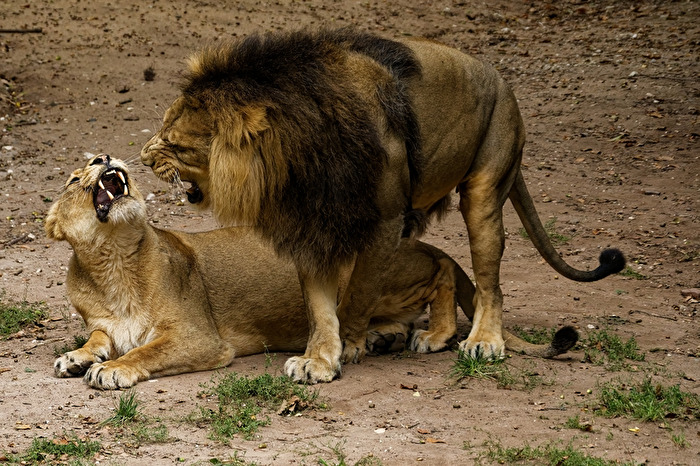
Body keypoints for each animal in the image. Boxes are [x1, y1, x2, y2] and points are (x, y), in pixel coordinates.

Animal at [46, 156, 577, 389]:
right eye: (74, 178)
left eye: (92, 163)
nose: (104, 157)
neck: (115, 261)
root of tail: (414, 240)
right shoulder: (105, 321)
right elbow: (99, 338)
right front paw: (76, 357)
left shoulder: (202, 338)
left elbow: (145, 351)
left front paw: (112, 370)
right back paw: (380, 339)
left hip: (375, 269)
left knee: (442, 270)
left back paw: (434, 335)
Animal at [141, 28, 624, 383]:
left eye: (174, 143)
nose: (143, 158)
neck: (296, 160)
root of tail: (504, 83)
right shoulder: (311, 226)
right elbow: (320, 308)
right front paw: (319, 359)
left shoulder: (386, 223)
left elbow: (355, 296)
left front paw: (352, 345)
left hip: (485, 189)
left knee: (485, 281)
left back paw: (481, 340)